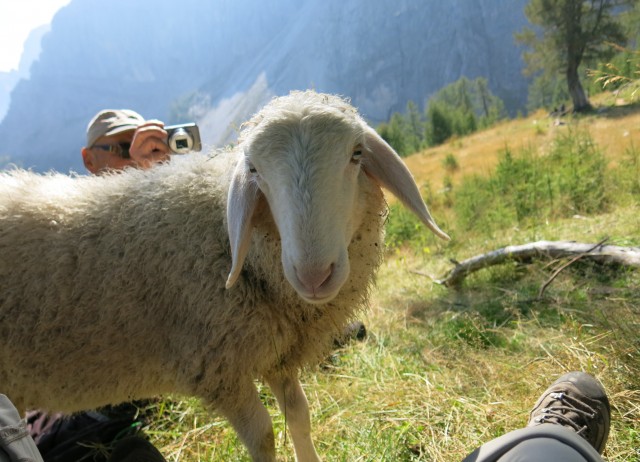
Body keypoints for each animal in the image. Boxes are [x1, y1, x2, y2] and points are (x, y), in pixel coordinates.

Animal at [0, 91, 448, 462]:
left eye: (356, 154)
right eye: (253, 169)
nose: (314, 275)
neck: (223, 234)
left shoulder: (277, 353)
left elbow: (300, 418)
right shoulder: (219, 370)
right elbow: (264, 438)